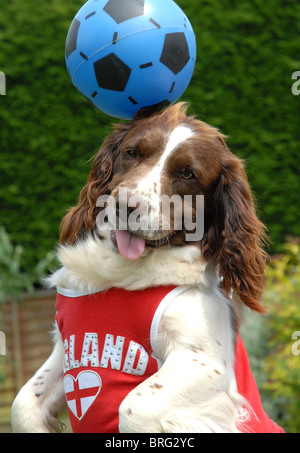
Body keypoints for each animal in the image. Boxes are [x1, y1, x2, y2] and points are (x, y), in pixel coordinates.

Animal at [12, 104, 270, 432]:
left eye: (188, 174)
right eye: (132, 153)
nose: (125, 205)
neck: (120, 274)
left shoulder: (206, 364)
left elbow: (133, 405)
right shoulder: (64, 348)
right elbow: (24, 403)